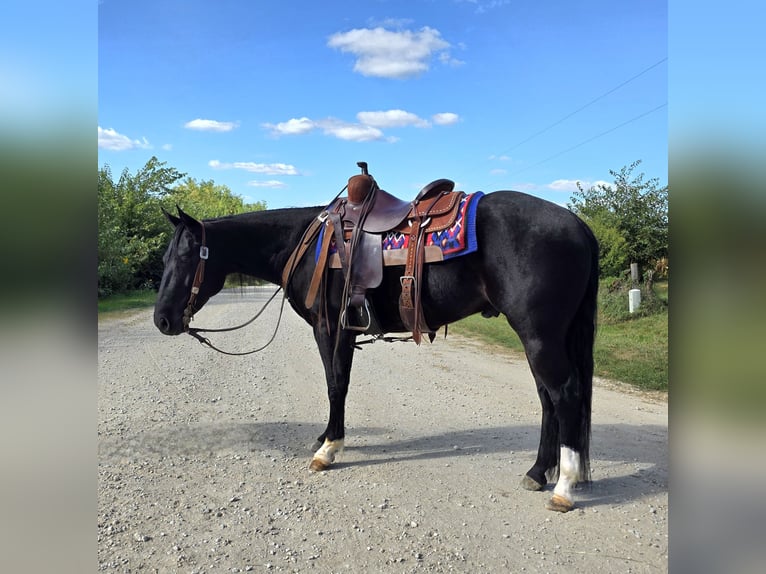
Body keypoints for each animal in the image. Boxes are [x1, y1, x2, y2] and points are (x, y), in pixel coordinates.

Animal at [153, 178, 599, 513]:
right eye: (164, 258)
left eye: (188, 256)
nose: (162, 320)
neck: (305, 243)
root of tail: (577, 224)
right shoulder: (342, 332)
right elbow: (338, 383)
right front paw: (325, 438)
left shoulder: (329, 329)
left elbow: (336, 384)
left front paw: (328, 449)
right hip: (542, 337)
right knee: (548, 398)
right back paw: (538, 472)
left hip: (538, 335)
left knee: (564, 393)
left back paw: (564, 487)